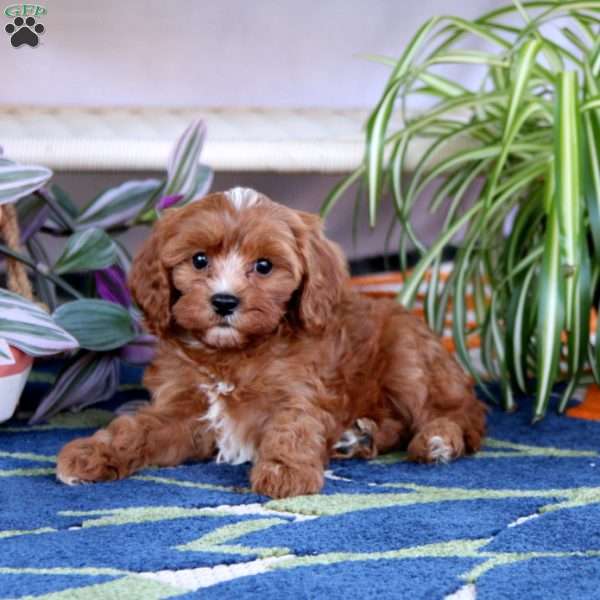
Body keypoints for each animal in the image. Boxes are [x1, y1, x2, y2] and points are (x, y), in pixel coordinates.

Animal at [56, 186, 486, 496]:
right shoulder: (181, 406)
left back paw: (437, 440)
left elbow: (291, 426)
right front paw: (92, 453)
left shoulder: (298, 390)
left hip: (409, 361)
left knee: (461, 413)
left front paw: (285, 471)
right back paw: (359, 436)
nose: (224, 301)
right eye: (199, 260)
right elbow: (136, 429)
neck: (232, 353)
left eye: (264, 266)